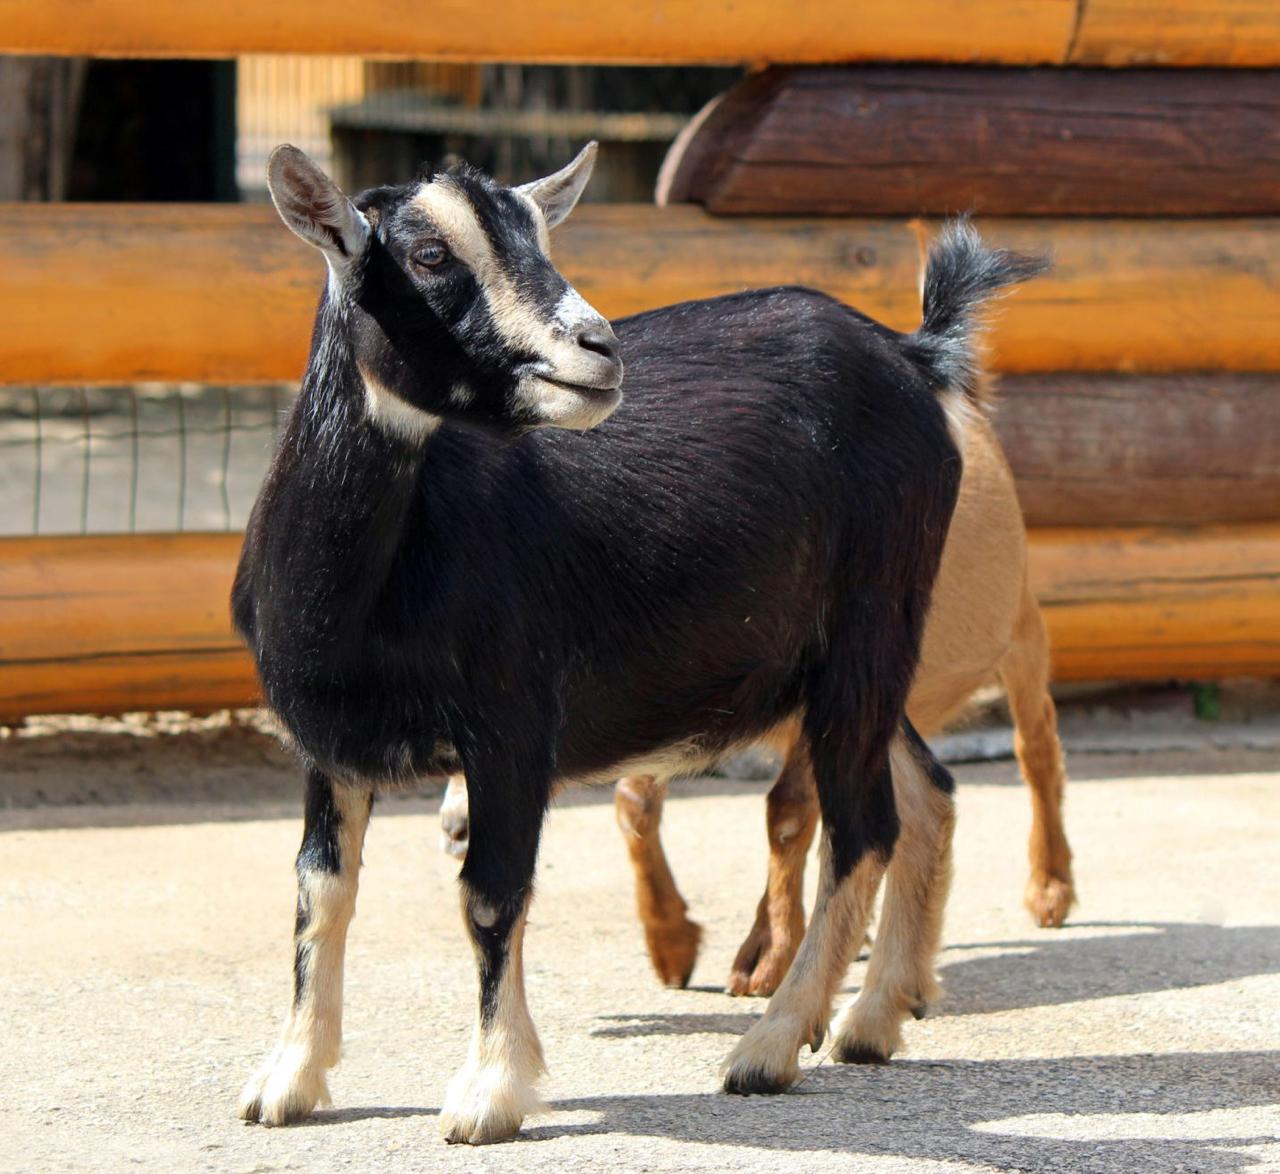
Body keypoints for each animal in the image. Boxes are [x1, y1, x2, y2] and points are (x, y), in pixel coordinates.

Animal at [439, 411, 1076, 995]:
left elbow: (788, 813)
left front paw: (765, 956)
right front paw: (672, 945)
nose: (457, 829)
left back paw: (1050, 888)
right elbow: (635, 806)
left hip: (1021, 625)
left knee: (1036, 743)